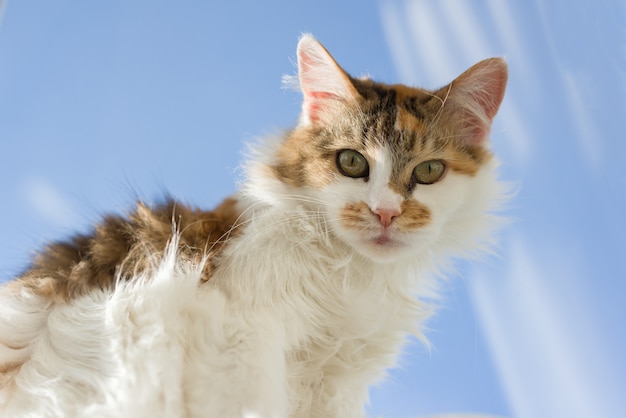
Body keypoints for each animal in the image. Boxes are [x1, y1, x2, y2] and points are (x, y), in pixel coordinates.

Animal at [0, 34, 508, 416]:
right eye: (351, 162)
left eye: (429, 171)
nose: (386, 212)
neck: (350, 274)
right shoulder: (242, 331)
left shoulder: (332, 387)